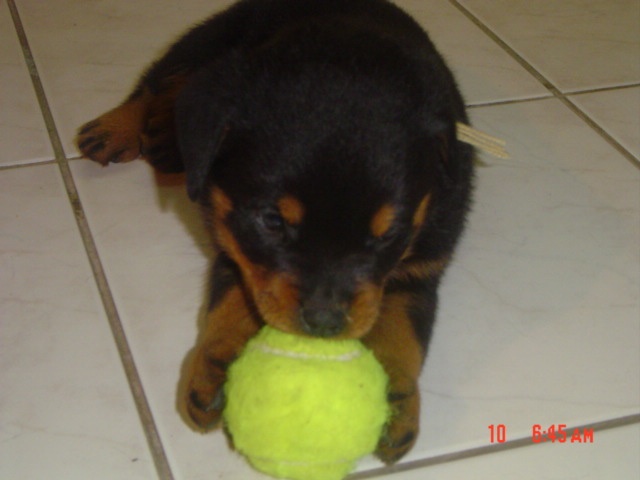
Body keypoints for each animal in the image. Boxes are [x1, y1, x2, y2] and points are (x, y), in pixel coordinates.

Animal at [76, 0, 474, 464]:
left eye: (388, 232)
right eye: (272, 221)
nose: (324, 321)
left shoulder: (423, 268)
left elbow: (402, 334)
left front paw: (398, 402)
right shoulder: (236, 243)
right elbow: (229, 304)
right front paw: (213, 366)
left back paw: (160, 136)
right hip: (206, 41)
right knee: (160, 80)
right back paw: (119, 127)